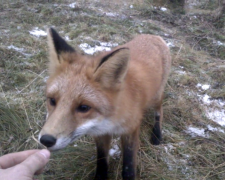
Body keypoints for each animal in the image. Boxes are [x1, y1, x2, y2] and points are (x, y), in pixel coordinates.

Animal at [38, 28, 171, 180]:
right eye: (52, 101)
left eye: (84, 107)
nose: (46, 140)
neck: (110, 119)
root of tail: (153, 36)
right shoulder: (100, 133)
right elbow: (101, 161)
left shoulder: (130, 130)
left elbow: (128, 167)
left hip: (156, 97)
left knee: (159, 111)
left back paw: (157, 134)